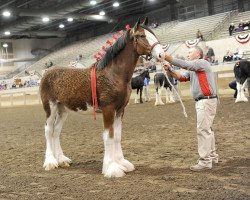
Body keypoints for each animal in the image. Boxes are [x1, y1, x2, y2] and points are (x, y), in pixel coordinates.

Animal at [39, 16, 164, 177]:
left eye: (153, 33)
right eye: (141, 36)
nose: (161, 54)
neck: (113, 74)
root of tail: (46, 73)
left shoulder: (120, 110)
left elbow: (117, 136)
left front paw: (122, 163)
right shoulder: (108, 109)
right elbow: (108, 136)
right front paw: (111, 168)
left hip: (63, 110)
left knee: (56, 131)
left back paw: (61, 159)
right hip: (50, 107)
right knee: (48, 130)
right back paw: (50, 162)